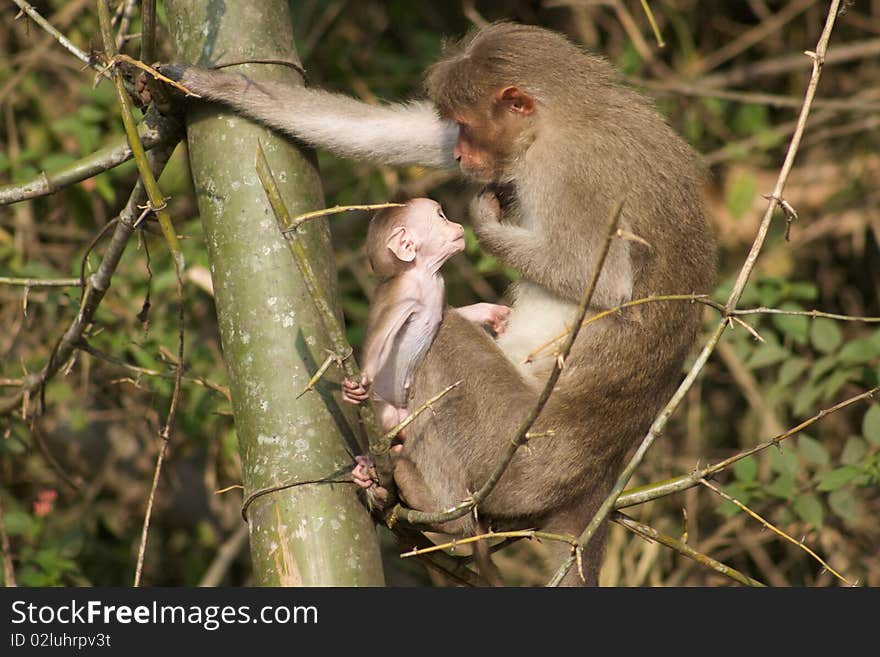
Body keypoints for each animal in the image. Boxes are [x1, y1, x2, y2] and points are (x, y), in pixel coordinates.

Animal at [344, 200, 508, 492]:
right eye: (441, 216)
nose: (457, 224)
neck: (422, 274)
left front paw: (493, 313)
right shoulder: (404, 293)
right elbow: (380, 338)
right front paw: (358, 382)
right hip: (384, 406)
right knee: (387, 419)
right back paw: (372, 462)